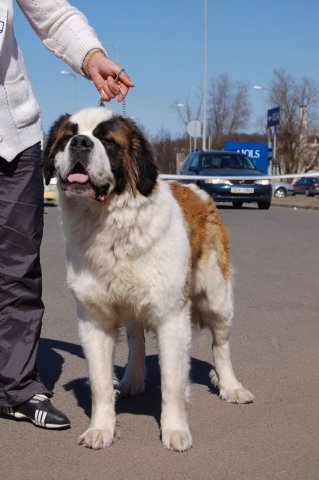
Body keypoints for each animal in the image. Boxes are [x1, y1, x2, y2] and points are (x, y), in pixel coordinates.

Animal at [43, 107, 255, 452]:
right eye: (67, 137)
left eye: (106, 140)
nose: (80, 143)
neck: (110, 226)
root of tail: (199, 192)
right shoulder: (94, 319)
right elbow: (100, 383)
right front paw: (101, 428)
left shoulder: (172, 316)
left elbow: (172, 381)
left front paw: (175, 430)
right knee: (136, 340)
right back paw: (132, 380)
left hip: (217, 298)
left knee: (221, 345)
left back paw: (232, 387)